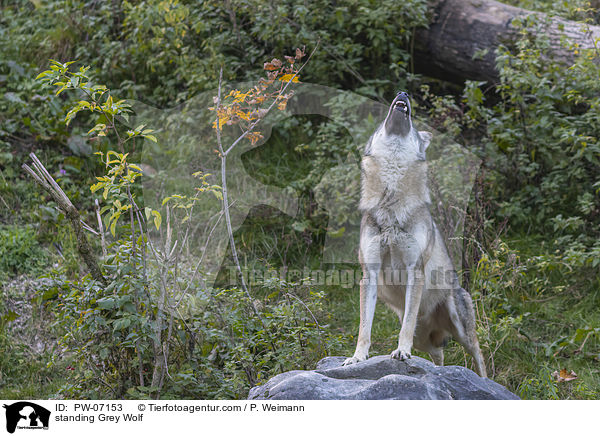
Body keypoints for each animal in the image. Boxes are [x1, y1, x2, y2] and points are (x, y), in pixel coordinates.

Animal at [342, 90, 488, 376]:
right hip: (425, 340)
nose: (403, 93)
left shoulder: (414, 270)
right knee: (438, 354)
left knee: (480, 357)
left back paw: (487, 380)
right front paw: (357, 357)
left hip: (461, 327)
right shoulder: (369, 273)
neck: (391, 201)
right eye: (381, 125)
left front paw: (401, 352)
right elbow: (364, 328)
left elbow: (405, 327)